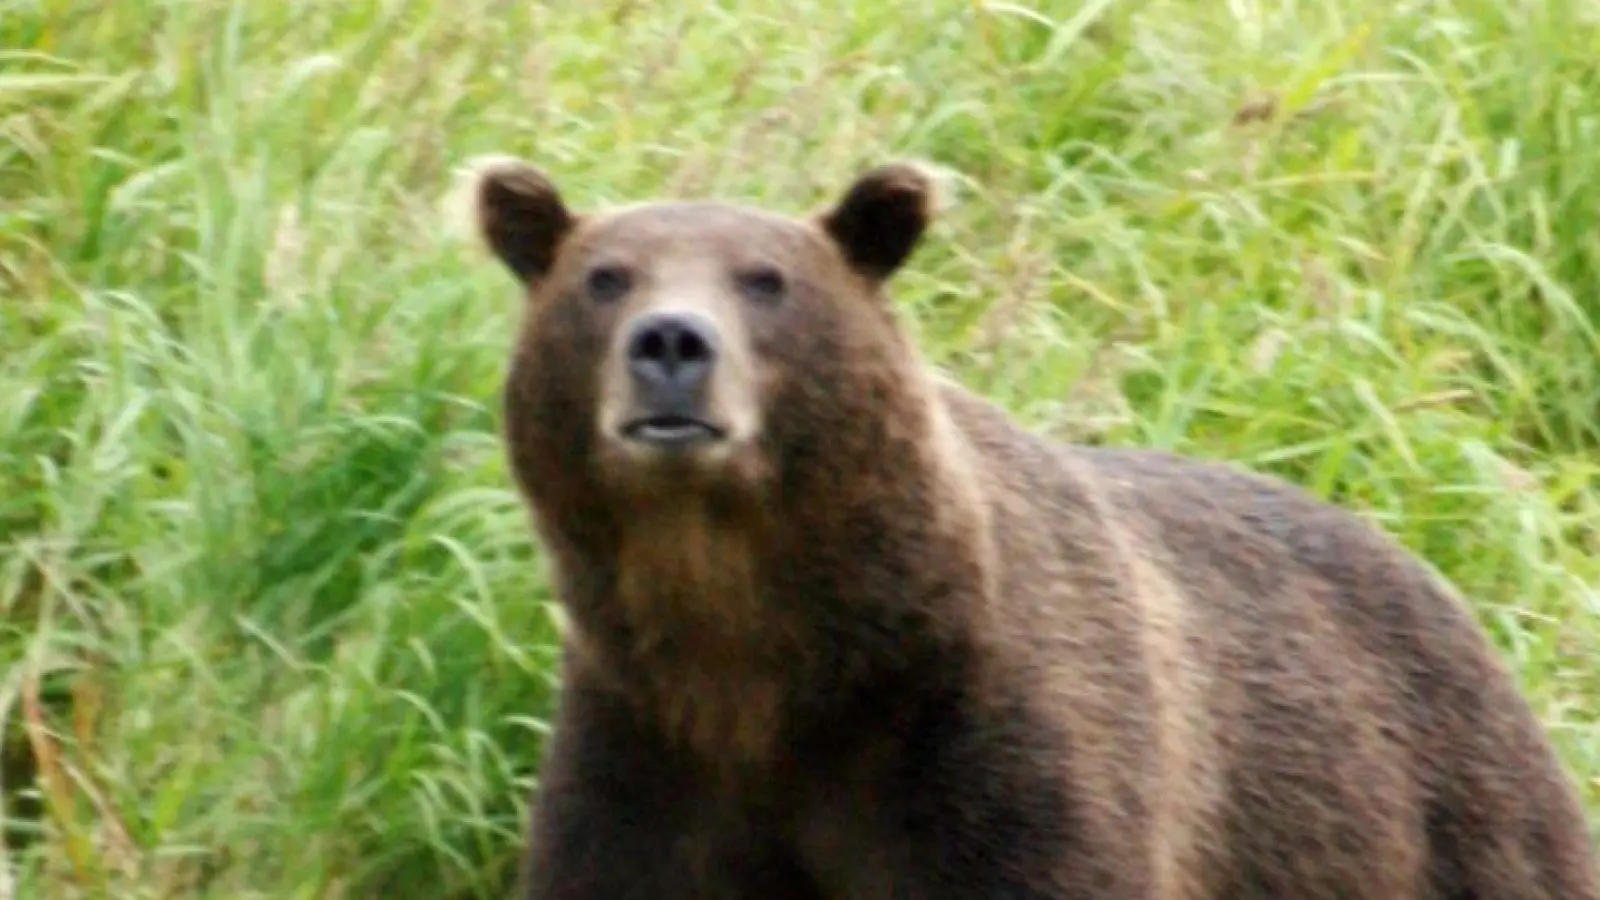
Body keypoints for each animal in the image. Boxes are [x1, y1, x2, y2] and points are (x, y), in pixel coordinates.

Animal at [467, 154, 1600, 900]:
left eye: (765, 280)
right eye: (604, 276)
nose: (671, 342)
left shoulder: (994, 741)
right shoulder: (648, 751)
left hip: (1444, 821)